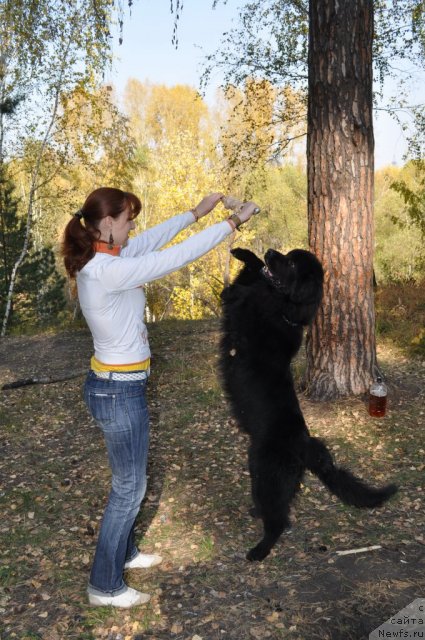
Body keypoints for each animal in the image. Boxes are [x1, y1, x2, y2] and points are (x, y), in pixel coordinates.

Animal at [219, 248, 398, 564]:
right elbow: (253, 275)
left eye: (291, 263)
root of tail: (305, 444)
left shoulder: (245, 313)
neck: (285, 311)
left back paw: (259, 550)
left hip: (269, 475)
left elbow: (242, 293)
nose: (270, 250)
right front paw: (244, 252)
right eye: (287, 254)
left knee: (279, 521)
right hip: (261, 472)